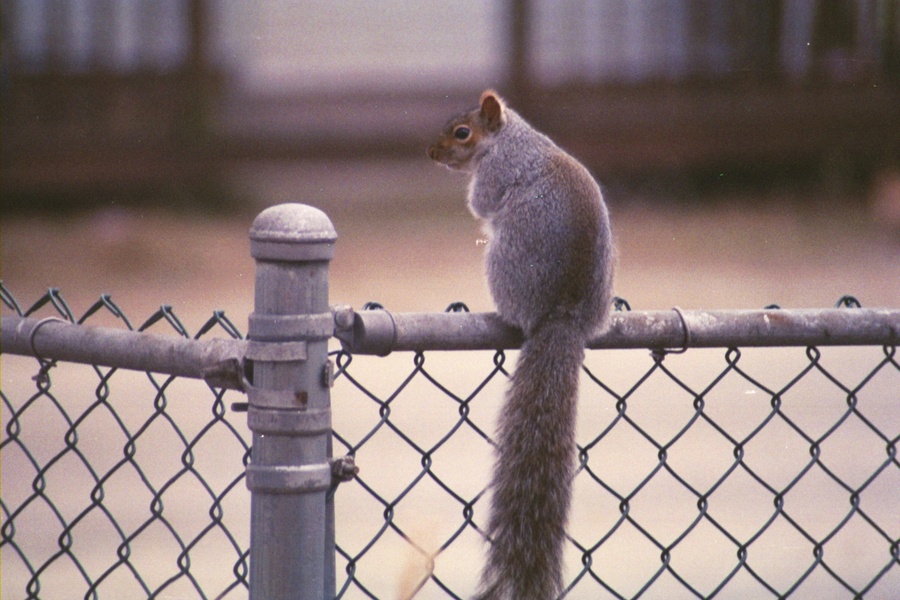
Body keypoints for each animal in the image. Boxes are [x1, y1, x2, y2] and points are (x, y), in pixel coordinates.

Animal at [427, 90, 615, 599]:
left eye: (462, 133)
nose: (430, 154)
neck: (510, 136)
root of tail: (563, 316)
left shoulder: (495, 174)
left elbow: (481, 202)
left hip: (502, 263)